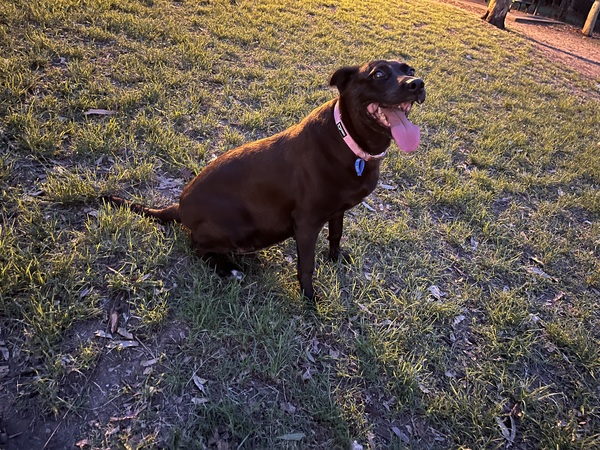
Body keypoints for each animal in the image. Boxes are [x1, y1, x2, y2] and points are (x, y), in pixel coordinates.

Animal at [106, 60, 425, 301]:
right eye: (379, 74)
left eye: (408, 67)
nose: (417, 83)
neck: (350, 141)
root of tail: (179, 206)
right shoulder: (306, 223)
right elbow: (306, 266)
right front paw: (309, 300)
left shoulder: (338, 210)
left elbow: (336, 234)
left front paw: (335, 258)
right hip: (238, 230)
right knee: (196, 245)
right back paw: (228, 269)